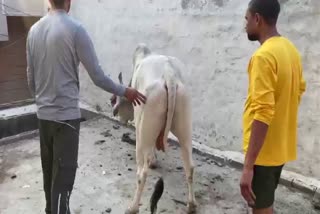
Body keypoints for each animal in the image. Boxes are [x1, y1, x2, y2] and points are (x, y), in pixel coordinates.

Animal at [111, 44, 196, 214]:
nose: (119, 117)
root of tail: (170, 75)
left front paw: (154, 161)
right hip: (185, 126)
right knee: (190, 166)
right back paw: (191, 205)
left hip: (143, 130)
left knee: (141, 173)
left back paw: (133, 207)